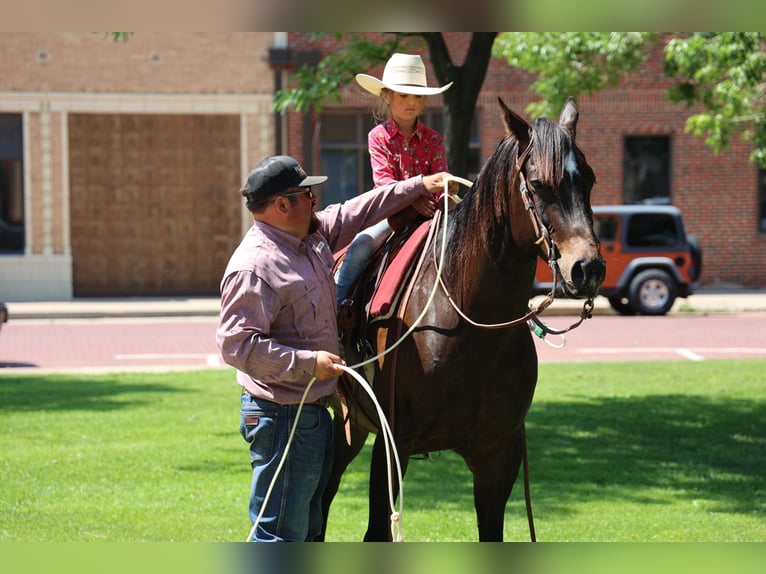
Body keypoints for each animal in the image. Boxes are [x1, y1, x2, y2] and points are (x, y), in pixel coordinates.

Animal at [322, 97, 608, 544]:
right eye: (538, 183)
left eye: (590, 180)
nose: (588, 268)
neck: (470, 326)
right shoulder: (393, 446)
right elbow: (376, 530)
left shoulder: (498, 456)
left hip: (351, 423)